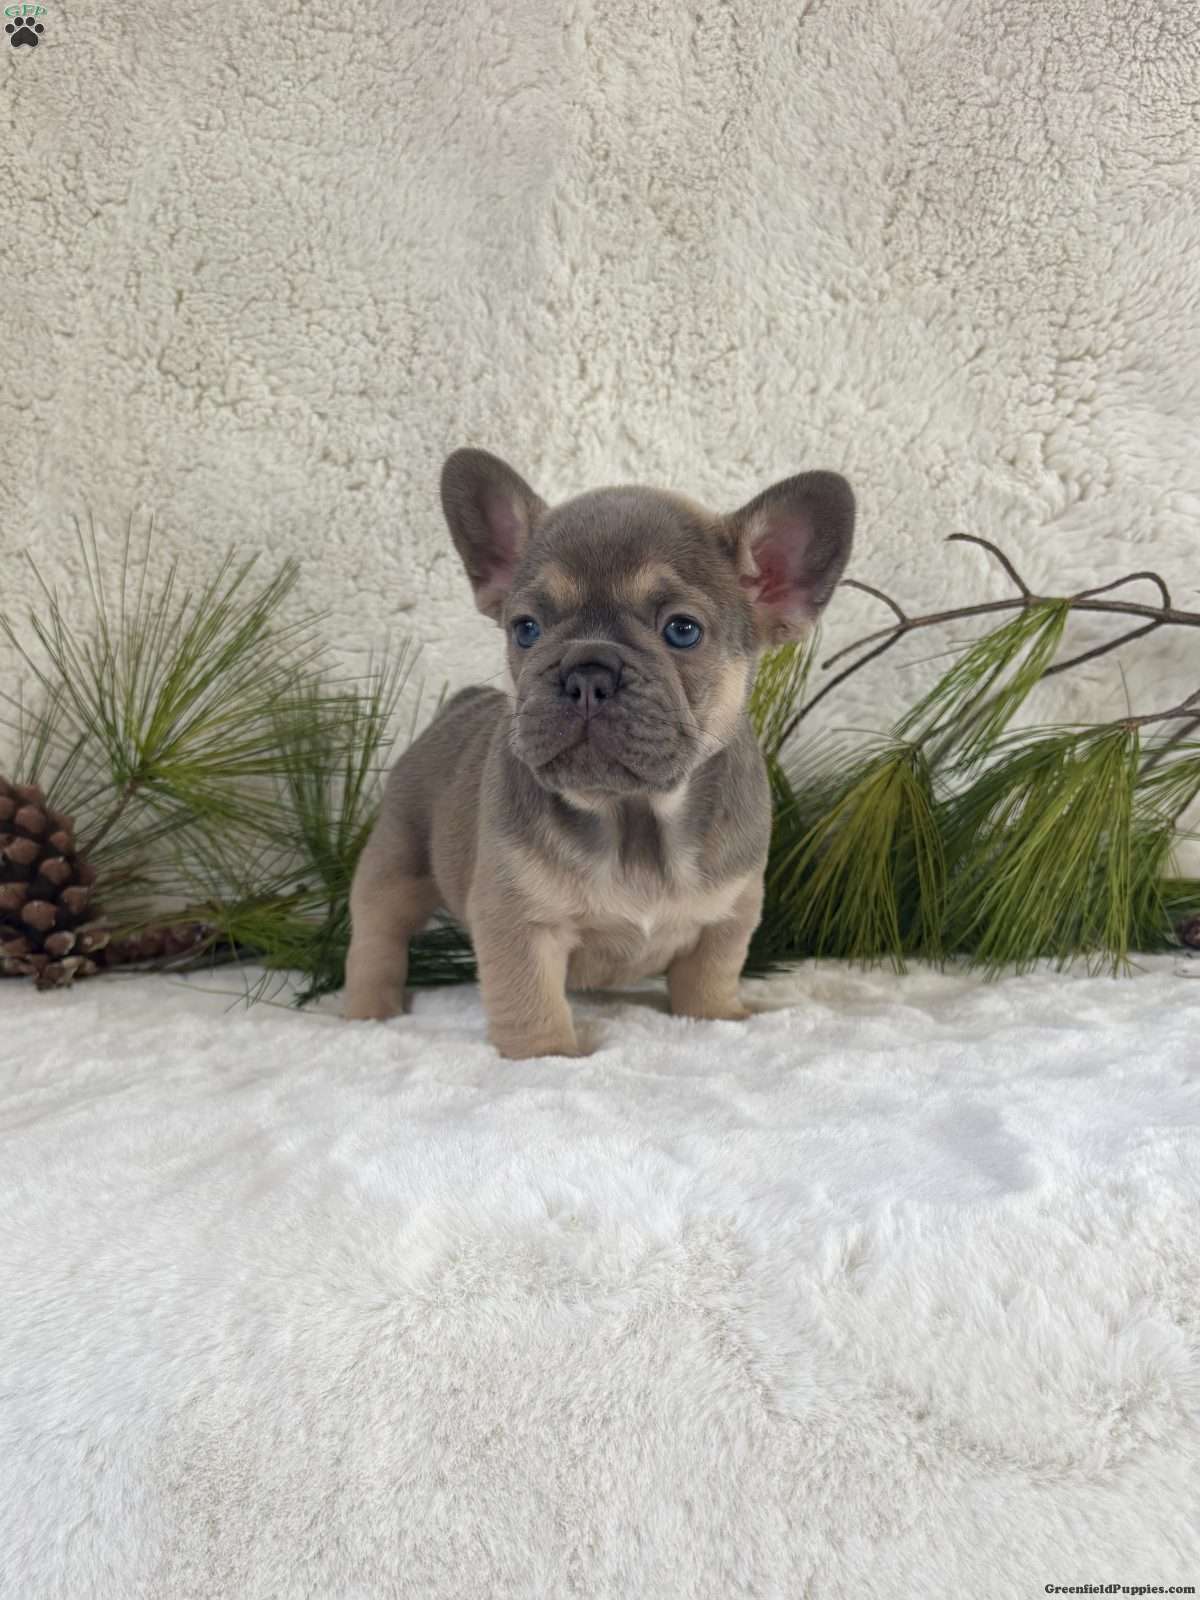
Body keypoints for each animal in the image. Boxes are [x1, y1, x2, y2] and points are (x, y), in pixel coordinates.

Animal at [344, 448, 854, 1058]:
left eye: (683, 631)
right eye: (526, 629)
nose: (586, 670)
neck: (634, 820)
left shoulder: (728, 917)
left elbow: (711, 978)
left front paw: (719, 1019)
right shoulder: (517, 921)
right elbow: (530, 1002)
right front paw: (548, 1056)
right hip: (396, 862)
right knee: (376, 938)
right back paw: (369, 1013)